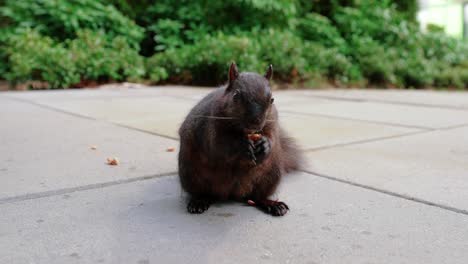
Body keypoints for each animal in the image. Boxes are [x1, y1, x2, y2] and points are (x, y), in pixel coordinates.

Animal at [176, 62, 304, 217]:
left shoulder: (272, 121)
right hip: (190, 173)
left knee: (256, 197)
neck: (244, 132)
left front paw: (265, 145)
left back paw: (272, 204)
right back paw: (199, 201)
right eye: (236, 96)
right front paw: (242, 146)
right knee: (202, 192)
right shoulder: (210, 125)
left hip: (273, 173)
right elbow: (218, 145)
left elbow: (272, 136)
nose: (255, 122)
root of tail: (231, 192)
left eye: (272, 99)